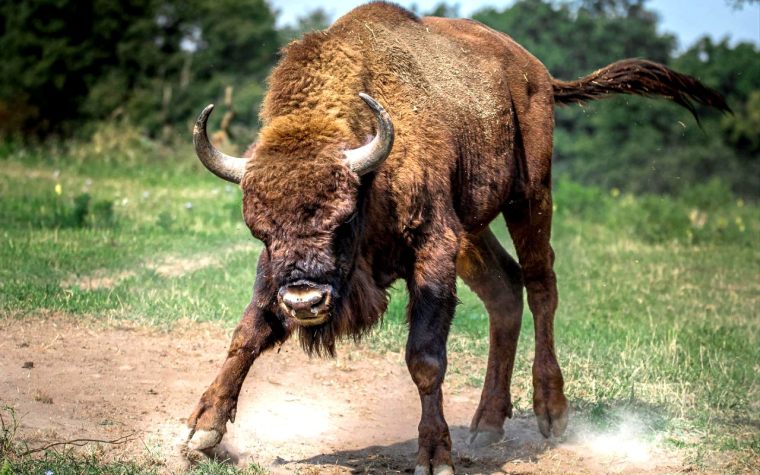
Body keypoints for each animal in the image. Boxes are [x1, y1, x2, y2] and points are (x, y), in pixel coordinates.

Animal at [185, 3, 728, 473]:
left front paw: (434, 456)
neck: (372, 171)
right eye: (259, 229)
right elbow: (248, 332)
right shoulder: (280, 272)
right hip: (474, 229)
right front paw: (201, 434)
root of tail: (536, 73)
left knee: (540, 284)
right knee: (504, 291)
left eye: (344, 218)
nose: (304, 300)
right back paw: (486, 424)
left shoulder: (434, 248)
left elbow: (425, 357)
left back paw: (551, 412)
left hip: (529, 197)